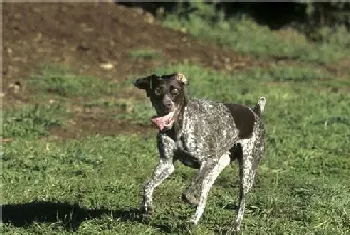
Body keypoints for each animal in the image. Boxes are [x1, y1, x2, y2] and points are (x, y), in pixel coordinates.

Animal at [133, 72, 266, 232]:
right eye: (158, 91)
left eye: (175, 91)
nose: (167, 105)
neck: (179, 126)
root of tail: (254, 112)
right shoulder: (166, 164)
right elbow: (147, 186)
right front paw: (146, 207)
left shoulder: (208, 161)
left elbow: (188, 191)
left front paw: (191, 199)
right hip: (215, 170)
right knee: (204, 197)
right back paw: (193, 221)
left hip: (246, 171)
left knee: (241, 202)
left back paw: (235, 226)